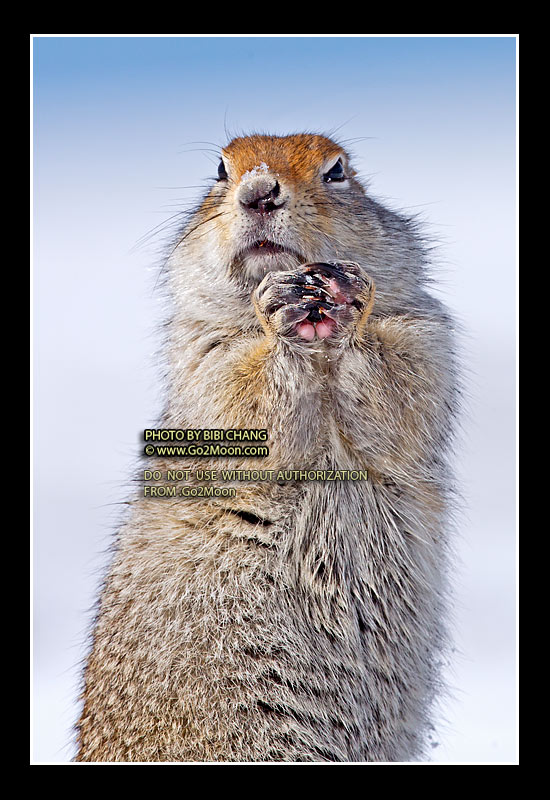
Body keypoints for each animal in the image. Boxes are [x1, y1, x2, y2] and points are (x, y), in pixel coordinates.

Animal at [75, 133, 459, 762]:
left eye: (338, 170)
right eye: (219, 169)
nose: (258, 191)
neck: (321, 354)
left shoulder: (425, 334)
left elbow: (401, 387)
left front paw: (349, 300)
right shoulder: (203, 353)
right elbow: (243, 394)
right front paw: (279, 311)